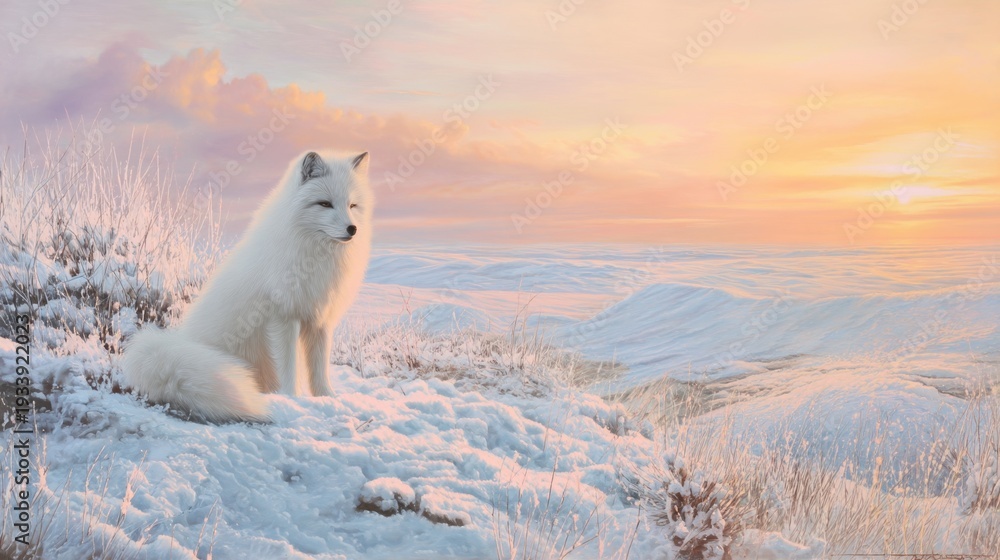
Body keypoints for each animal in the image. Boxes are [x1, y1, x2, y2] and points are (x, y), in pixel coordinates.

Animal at [121, 151, 373, 422]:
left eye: (352, 206)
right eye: (324, 204)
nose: (352, 229)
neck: (315, 256)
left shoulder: (320, 319)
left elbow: (319, 370)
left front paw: (328, 399)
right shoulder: (283, 317)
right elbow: (288, 369)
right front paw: (292, 399)